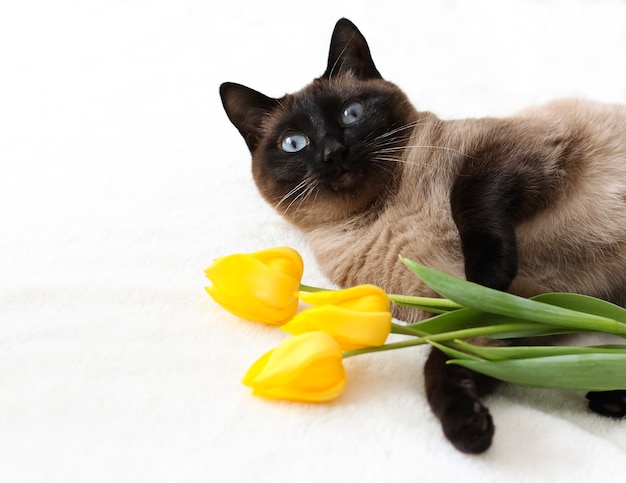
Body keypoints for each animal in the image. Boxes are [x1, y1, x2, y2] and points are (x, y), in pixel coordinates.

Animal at [218, 16, 624, 454]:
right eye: (294, 143)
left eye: (351, 113)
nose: (333, 151)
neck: (380, 213)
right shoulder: (500, 311)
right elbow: (450, 361)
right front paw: (468, 429)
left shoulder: (508, 155)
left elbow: (471, 202)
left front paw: (486, 274)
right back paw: (609, 397)